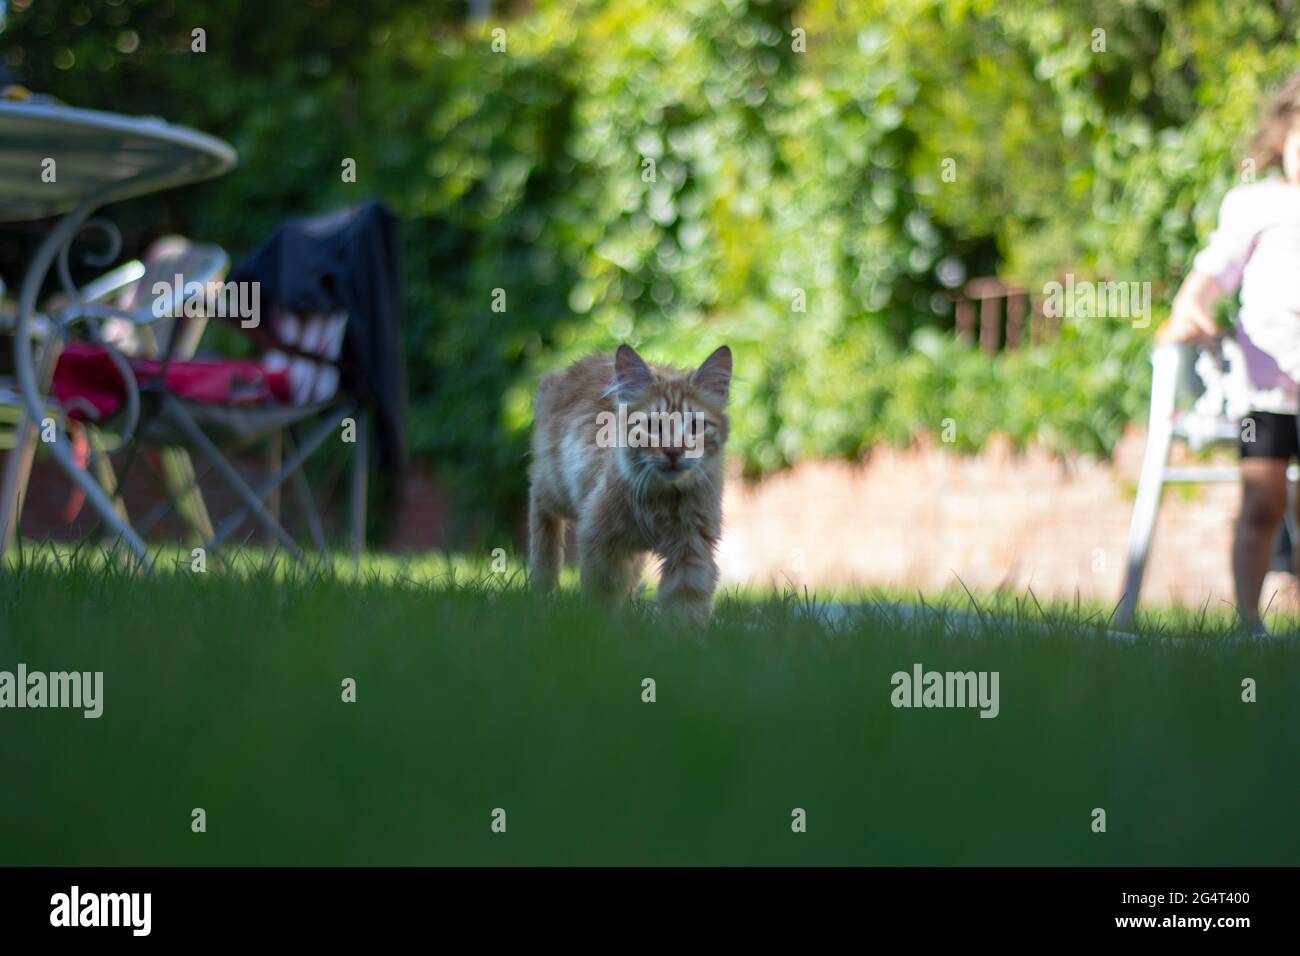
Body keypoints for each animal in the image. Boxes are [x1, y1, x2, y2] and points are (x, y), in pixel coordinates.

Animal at [527, 345, 733, 629]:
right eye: (653, 426)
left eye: (694, 426)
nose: (673, 451)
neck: (662, 499)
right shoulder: (600, 539)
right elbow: (601, 601)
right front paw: (599, 632)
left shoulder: (691, 550)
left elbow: (685, 610)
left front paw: (681, 639)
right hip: (554, 487)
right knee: (540, 514)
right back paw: (543, 587)